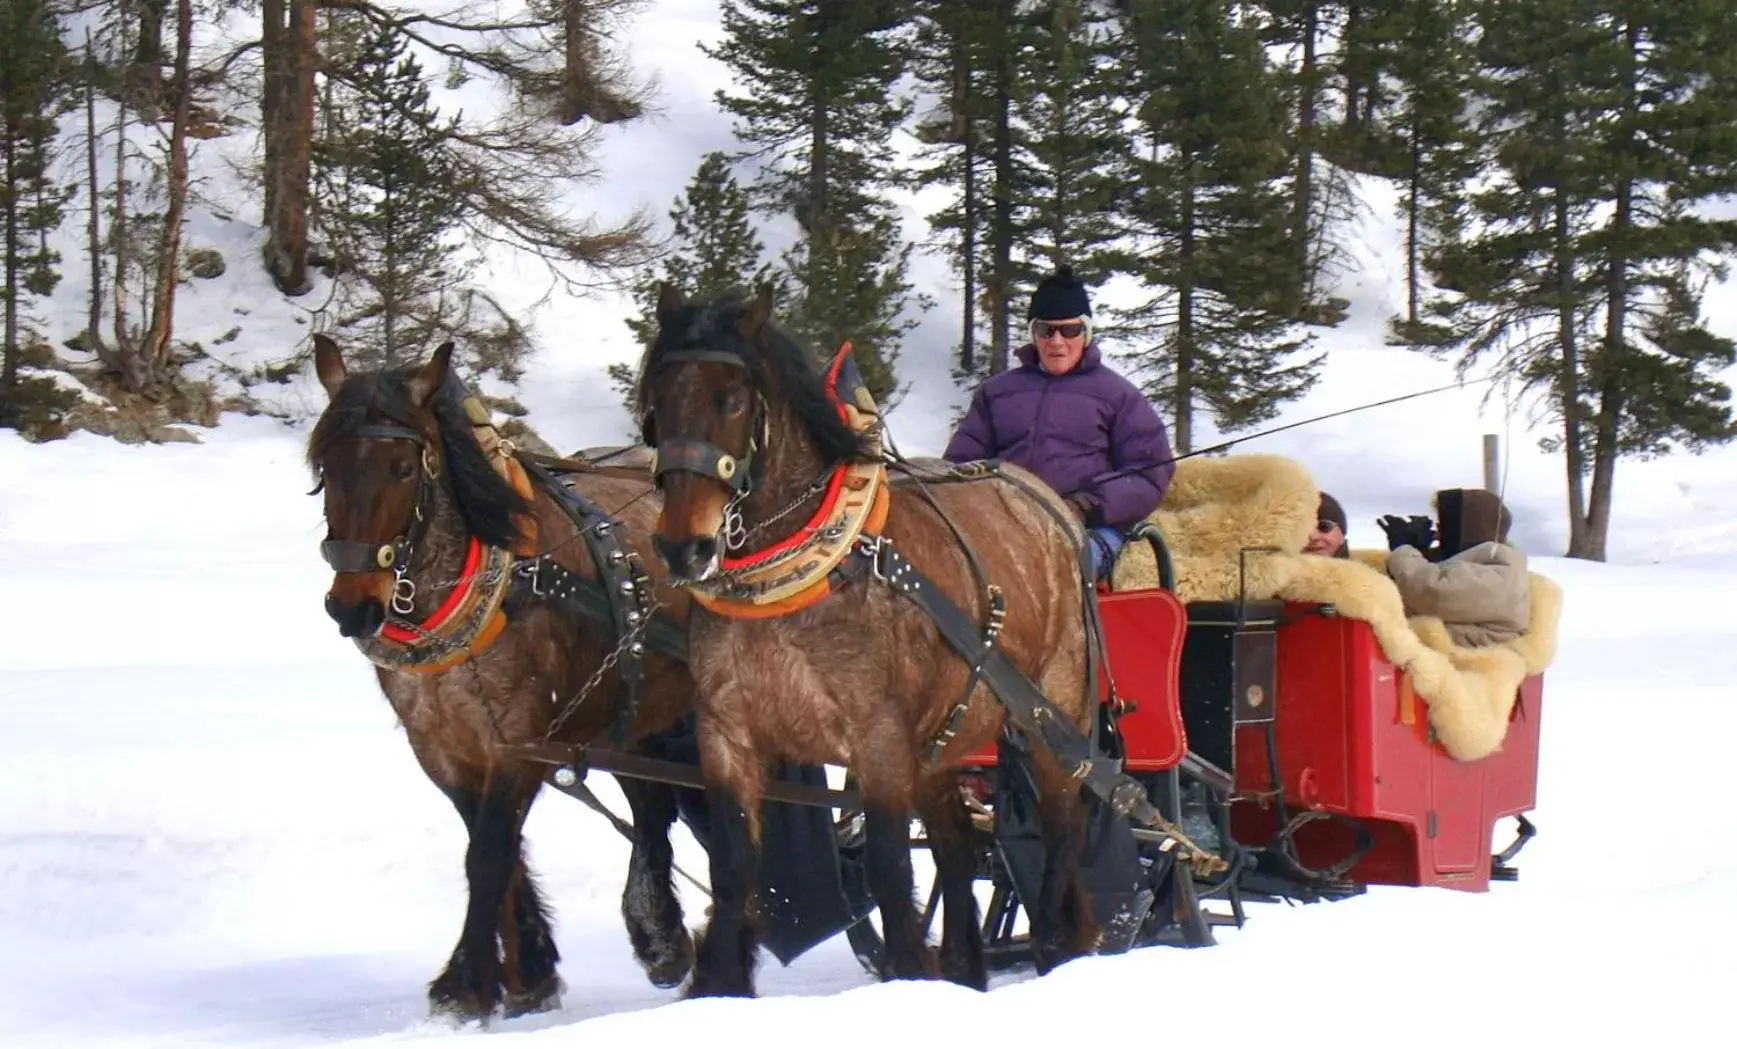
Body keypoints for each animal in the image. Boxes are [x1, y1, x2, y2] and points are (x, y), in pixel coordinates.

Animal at [309, 338, 701, 1021]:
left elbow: (489, 851)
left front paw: (465, 981)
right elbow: (495, 847)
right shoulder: (443, 746)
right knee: (653, 809)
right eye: (325, 469)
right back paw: (662, 939)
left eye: (403, 469)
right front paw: (527, 972)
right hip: (634, 713)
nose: (352, 606)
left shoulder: (520, 739)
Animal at [639, 286, 1097, 1000]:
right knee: (957, 848)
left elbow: (886, 868)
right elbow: (733, 867)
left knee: (1063, 827)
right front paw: (719, 984)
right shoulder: (728, 732)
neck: (796, 577)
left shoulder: (879, 741)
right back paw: (964, 969)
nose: (682, 547)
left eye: (732, 399)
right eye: (656, 402)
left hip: (1052, 717)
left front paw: (907, 972)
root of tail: (1054, 509)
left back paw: (1053, 944)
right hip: (945, 739)